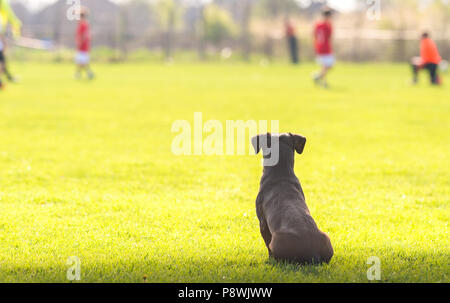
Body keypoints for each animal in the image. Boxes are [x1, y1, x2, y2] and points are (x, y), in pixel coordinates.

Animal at [251, 134, 332, 264]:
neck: (281, 174)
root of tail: (313, 255)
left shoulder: (262, 223)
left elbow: (267, 244)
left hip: (276, 240)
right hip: (326, 237)